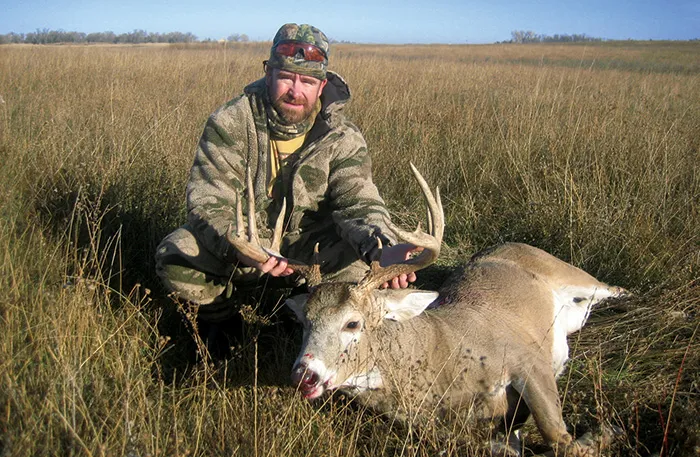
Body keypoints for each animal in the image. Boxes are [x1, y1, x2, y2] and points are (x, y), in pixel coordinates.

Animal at [227, 164, 626, 456]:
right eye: (305, 322)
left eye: (352, 323)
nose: (303, 376)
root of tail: (512, 243)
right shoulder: (451, 430)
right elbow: (507, 444)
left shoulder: (527, 357)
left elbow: (559, 438)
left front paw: (604, 431)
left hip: (570, 272)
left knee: (612, 288)